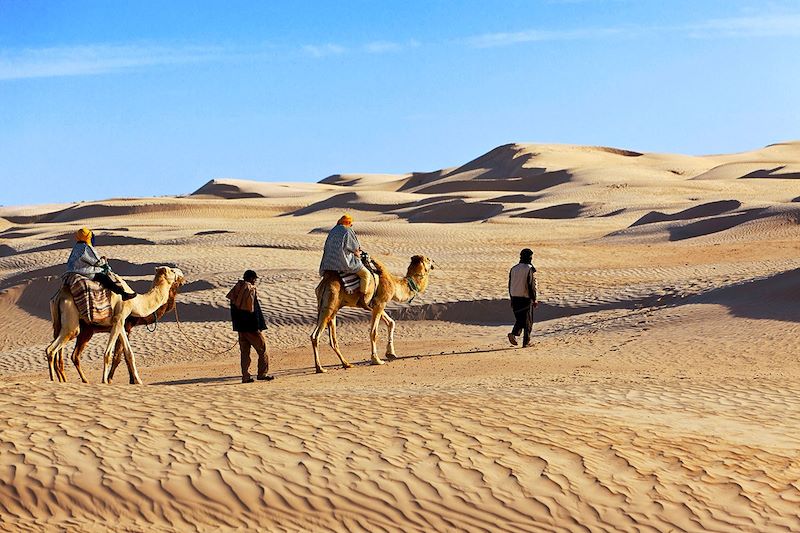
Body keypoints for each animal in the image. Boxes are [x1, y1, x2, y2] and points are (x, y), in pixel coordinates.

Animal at [47, 264, 184, 382]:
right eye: (172, 271)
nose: (182, 275)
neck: (135, 302)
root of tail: (59, 296)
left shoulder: (121, 324)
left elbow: (128, 354)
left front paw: (138, 381)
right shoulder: (119, 319)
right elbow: (109, 354)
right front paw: (105, 381)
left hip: (59, 324)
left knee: (60, 351)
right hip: (73, 324)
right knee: (52, 349)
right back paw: (54, 380)